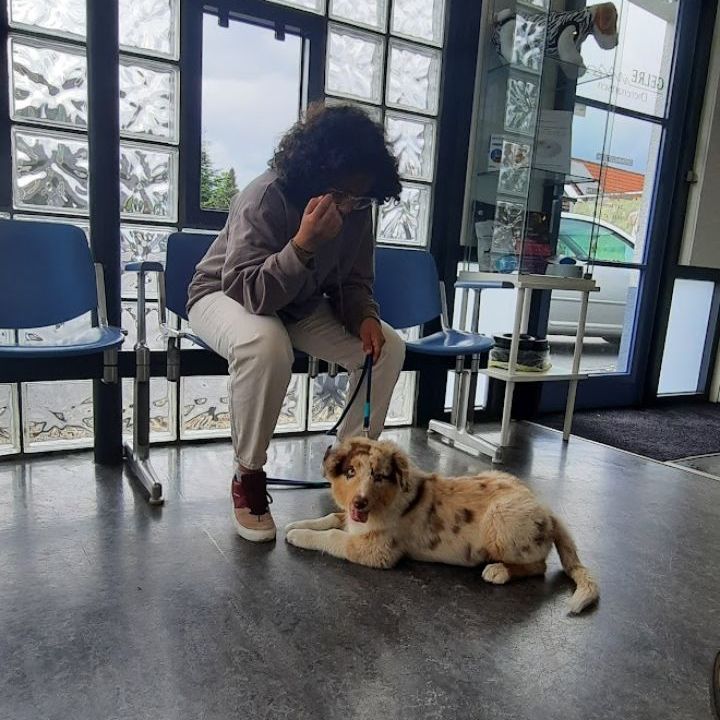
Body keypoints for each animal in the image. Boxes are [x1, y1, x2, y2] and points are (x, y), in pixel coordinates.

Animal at [286, 438, 599, 614]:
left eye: (379, 476)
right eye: (350, 472)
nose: (360, 503)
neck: (386, 500)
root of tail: (549, 511)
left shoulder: (376, 549)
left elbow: (333, 537)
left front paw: (299, 535)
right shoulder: (353, 520)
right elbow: (332, 518)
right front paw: (296, 523)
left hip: (500, 516)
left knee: (539, 566)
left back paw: (499, 571)